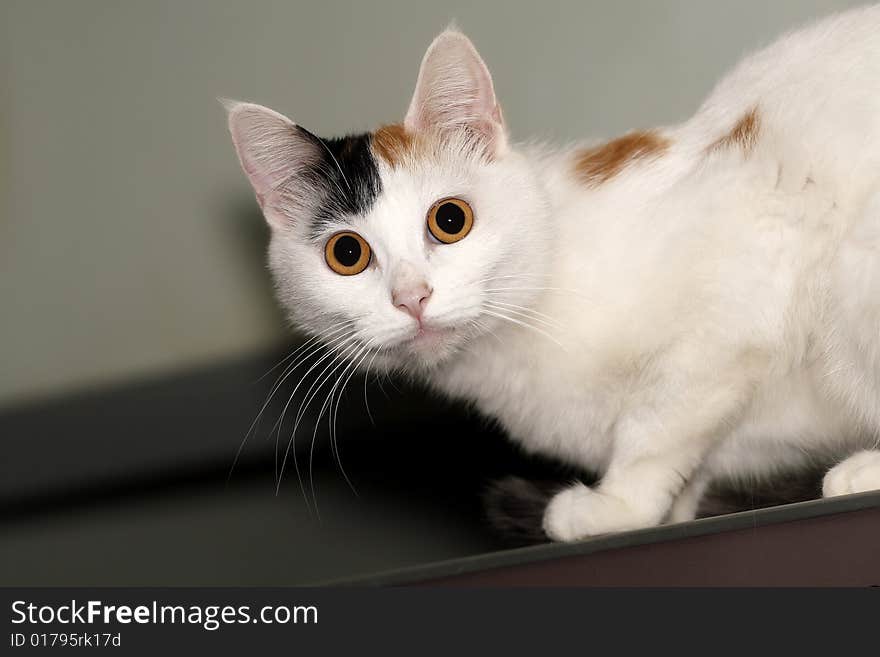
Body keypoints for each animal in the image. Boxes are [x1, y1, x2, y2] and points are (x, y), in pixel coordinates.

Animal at [225, 3, 880, 540]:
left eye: (450, 219)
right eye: (347, 255)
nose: (412, 296)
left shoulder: (747, 259)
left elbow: (657, 422)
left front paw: (616, 505)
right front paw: (668, 506)